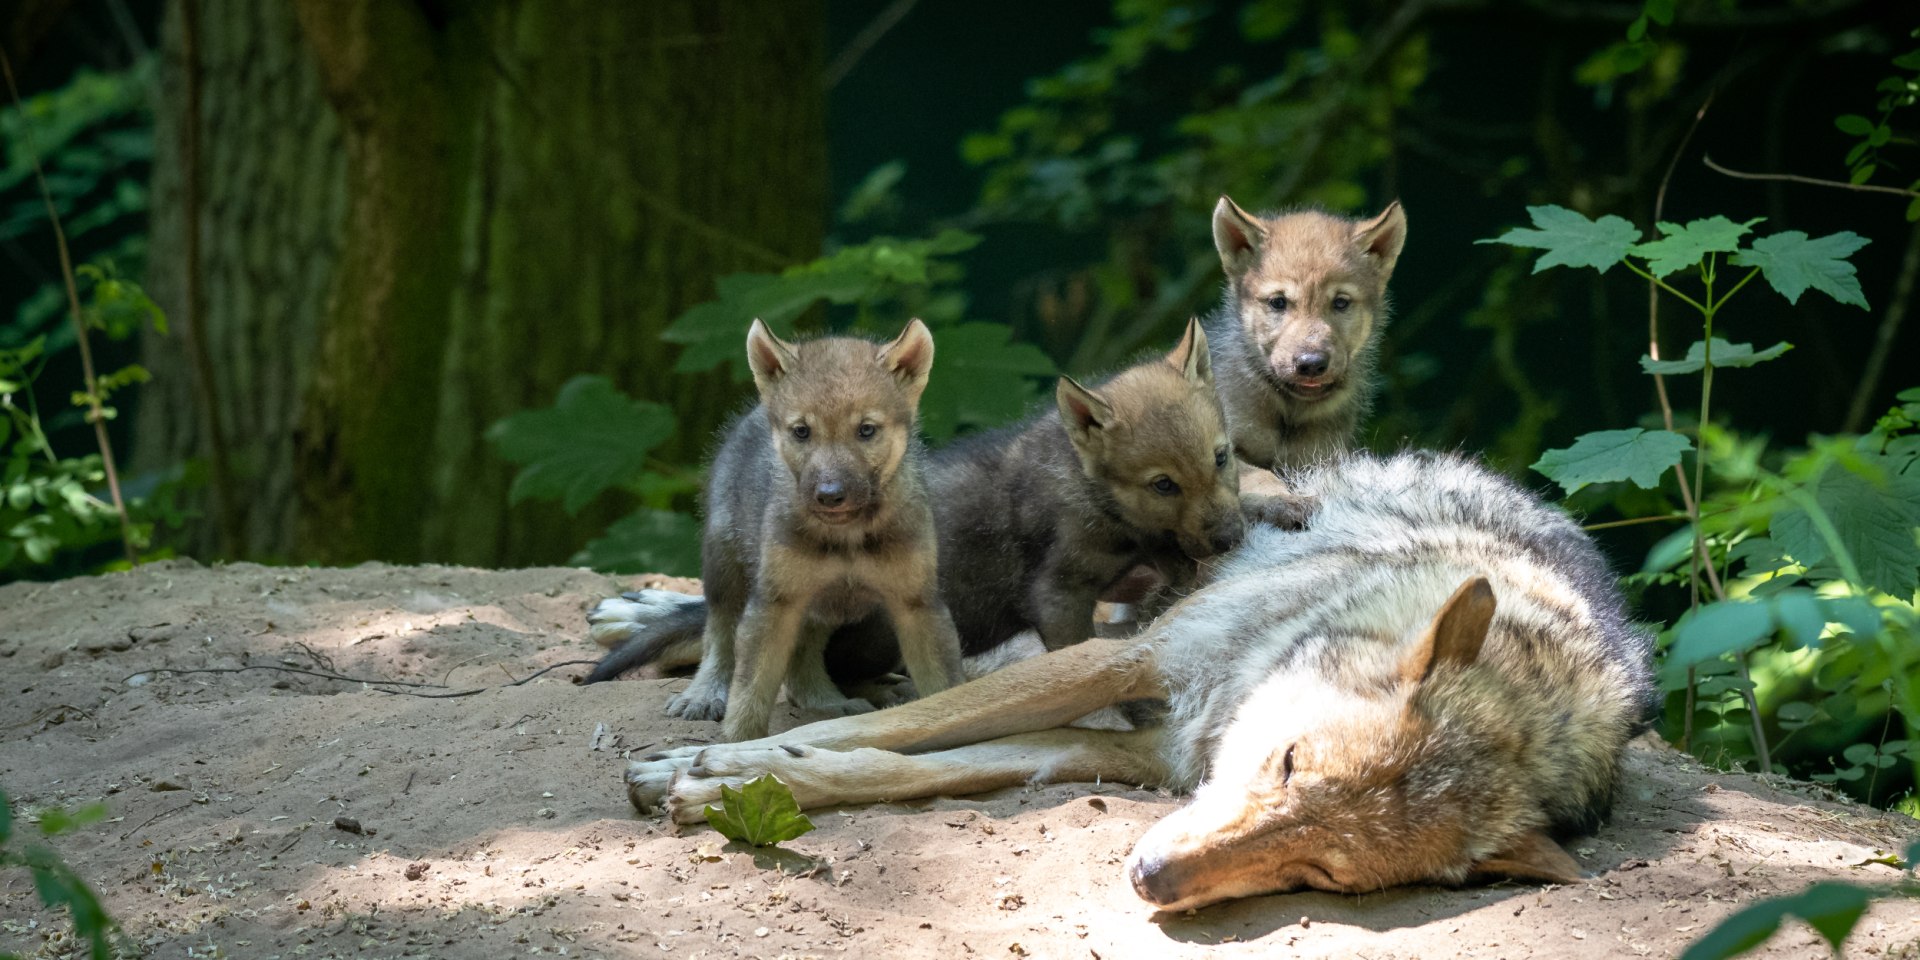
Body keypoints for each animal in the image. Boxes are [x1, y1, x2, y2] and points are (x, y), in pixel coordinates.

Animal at [625, 449, 1651, 906]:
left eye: (1319, 872)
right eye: (1288, 761)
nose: (1153, 878)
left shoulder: (1151, 755)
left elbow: (906, 765)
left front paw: (741, 781)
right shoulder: (1131, 659)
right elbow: (892, 729)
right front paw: (709, 761)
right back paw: (650, 625)